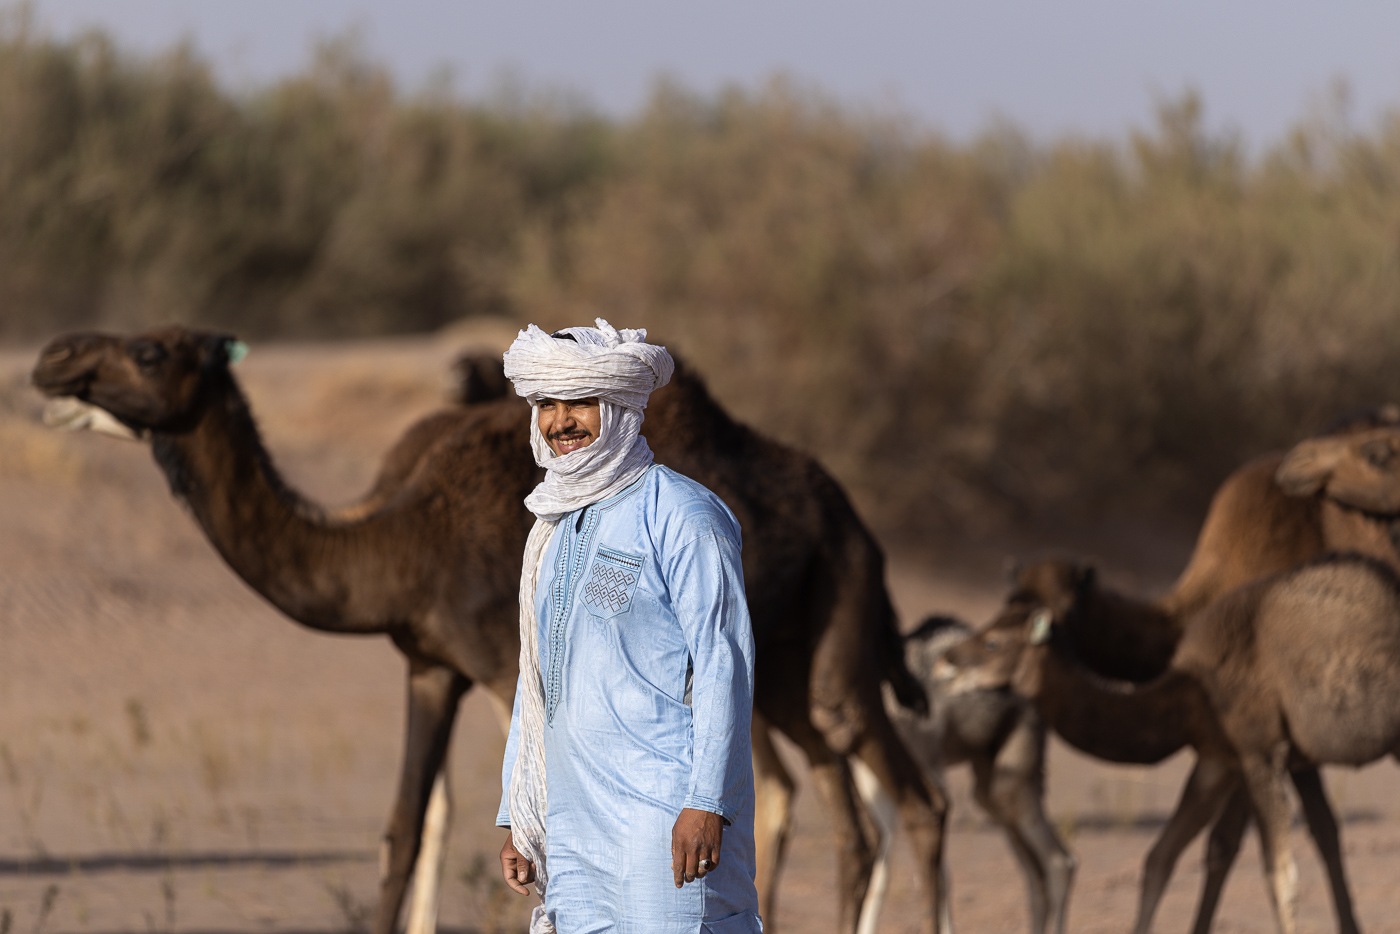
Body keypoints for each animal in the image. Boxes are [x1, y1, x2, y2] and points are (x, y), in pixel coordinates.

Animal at [31, 326, 948, 934]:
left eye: (152, 353)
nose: (54, 357)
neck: (404, 536)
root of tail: (857, 524)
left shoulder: (513, 668)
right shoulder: (428, 665)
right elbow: (402, 834)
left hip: (836, 633)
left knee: (914, 796)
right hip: (784, 670)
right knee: (847, 815)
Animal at [943, 553, 1400, 934]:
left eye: (992, 642)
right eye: (995, 615)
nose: (948, 658)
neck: (1190, 692)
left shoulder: (1261, 751)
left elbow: (1281, 877)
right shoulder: (1220, 759)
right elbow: (1159, 859)